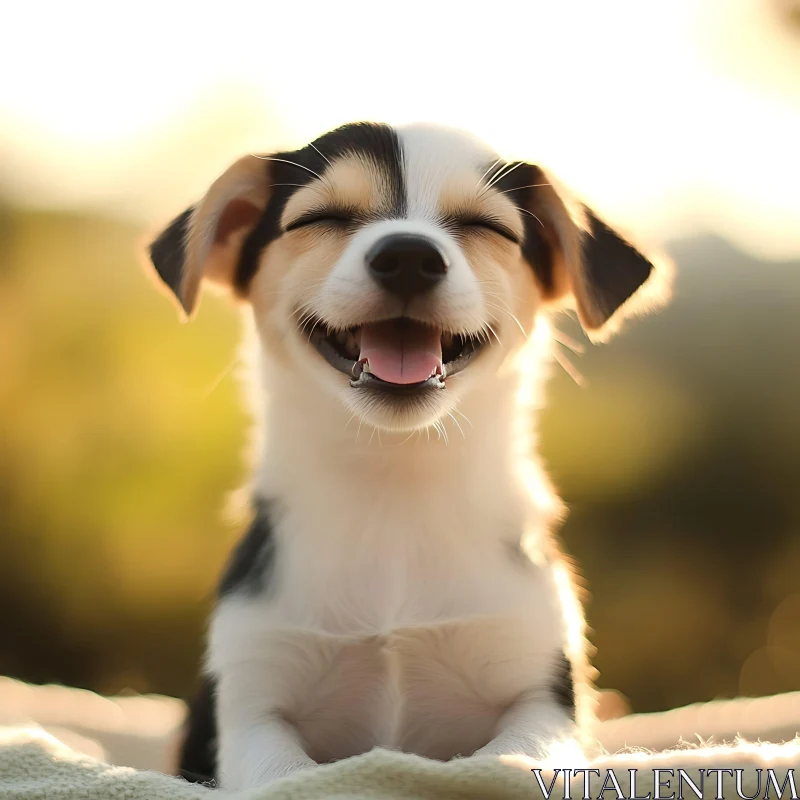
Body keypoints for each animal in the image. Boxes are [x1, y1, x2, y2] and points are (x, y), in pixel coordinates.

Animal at [147, 122, 664, 792]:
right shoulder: (247, 703)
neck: (395, 485)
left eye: (485, 226)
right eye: (323, 217)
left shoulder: (541, 691)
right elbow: (285, 774)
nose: (410, 256)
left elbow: (513, 759)